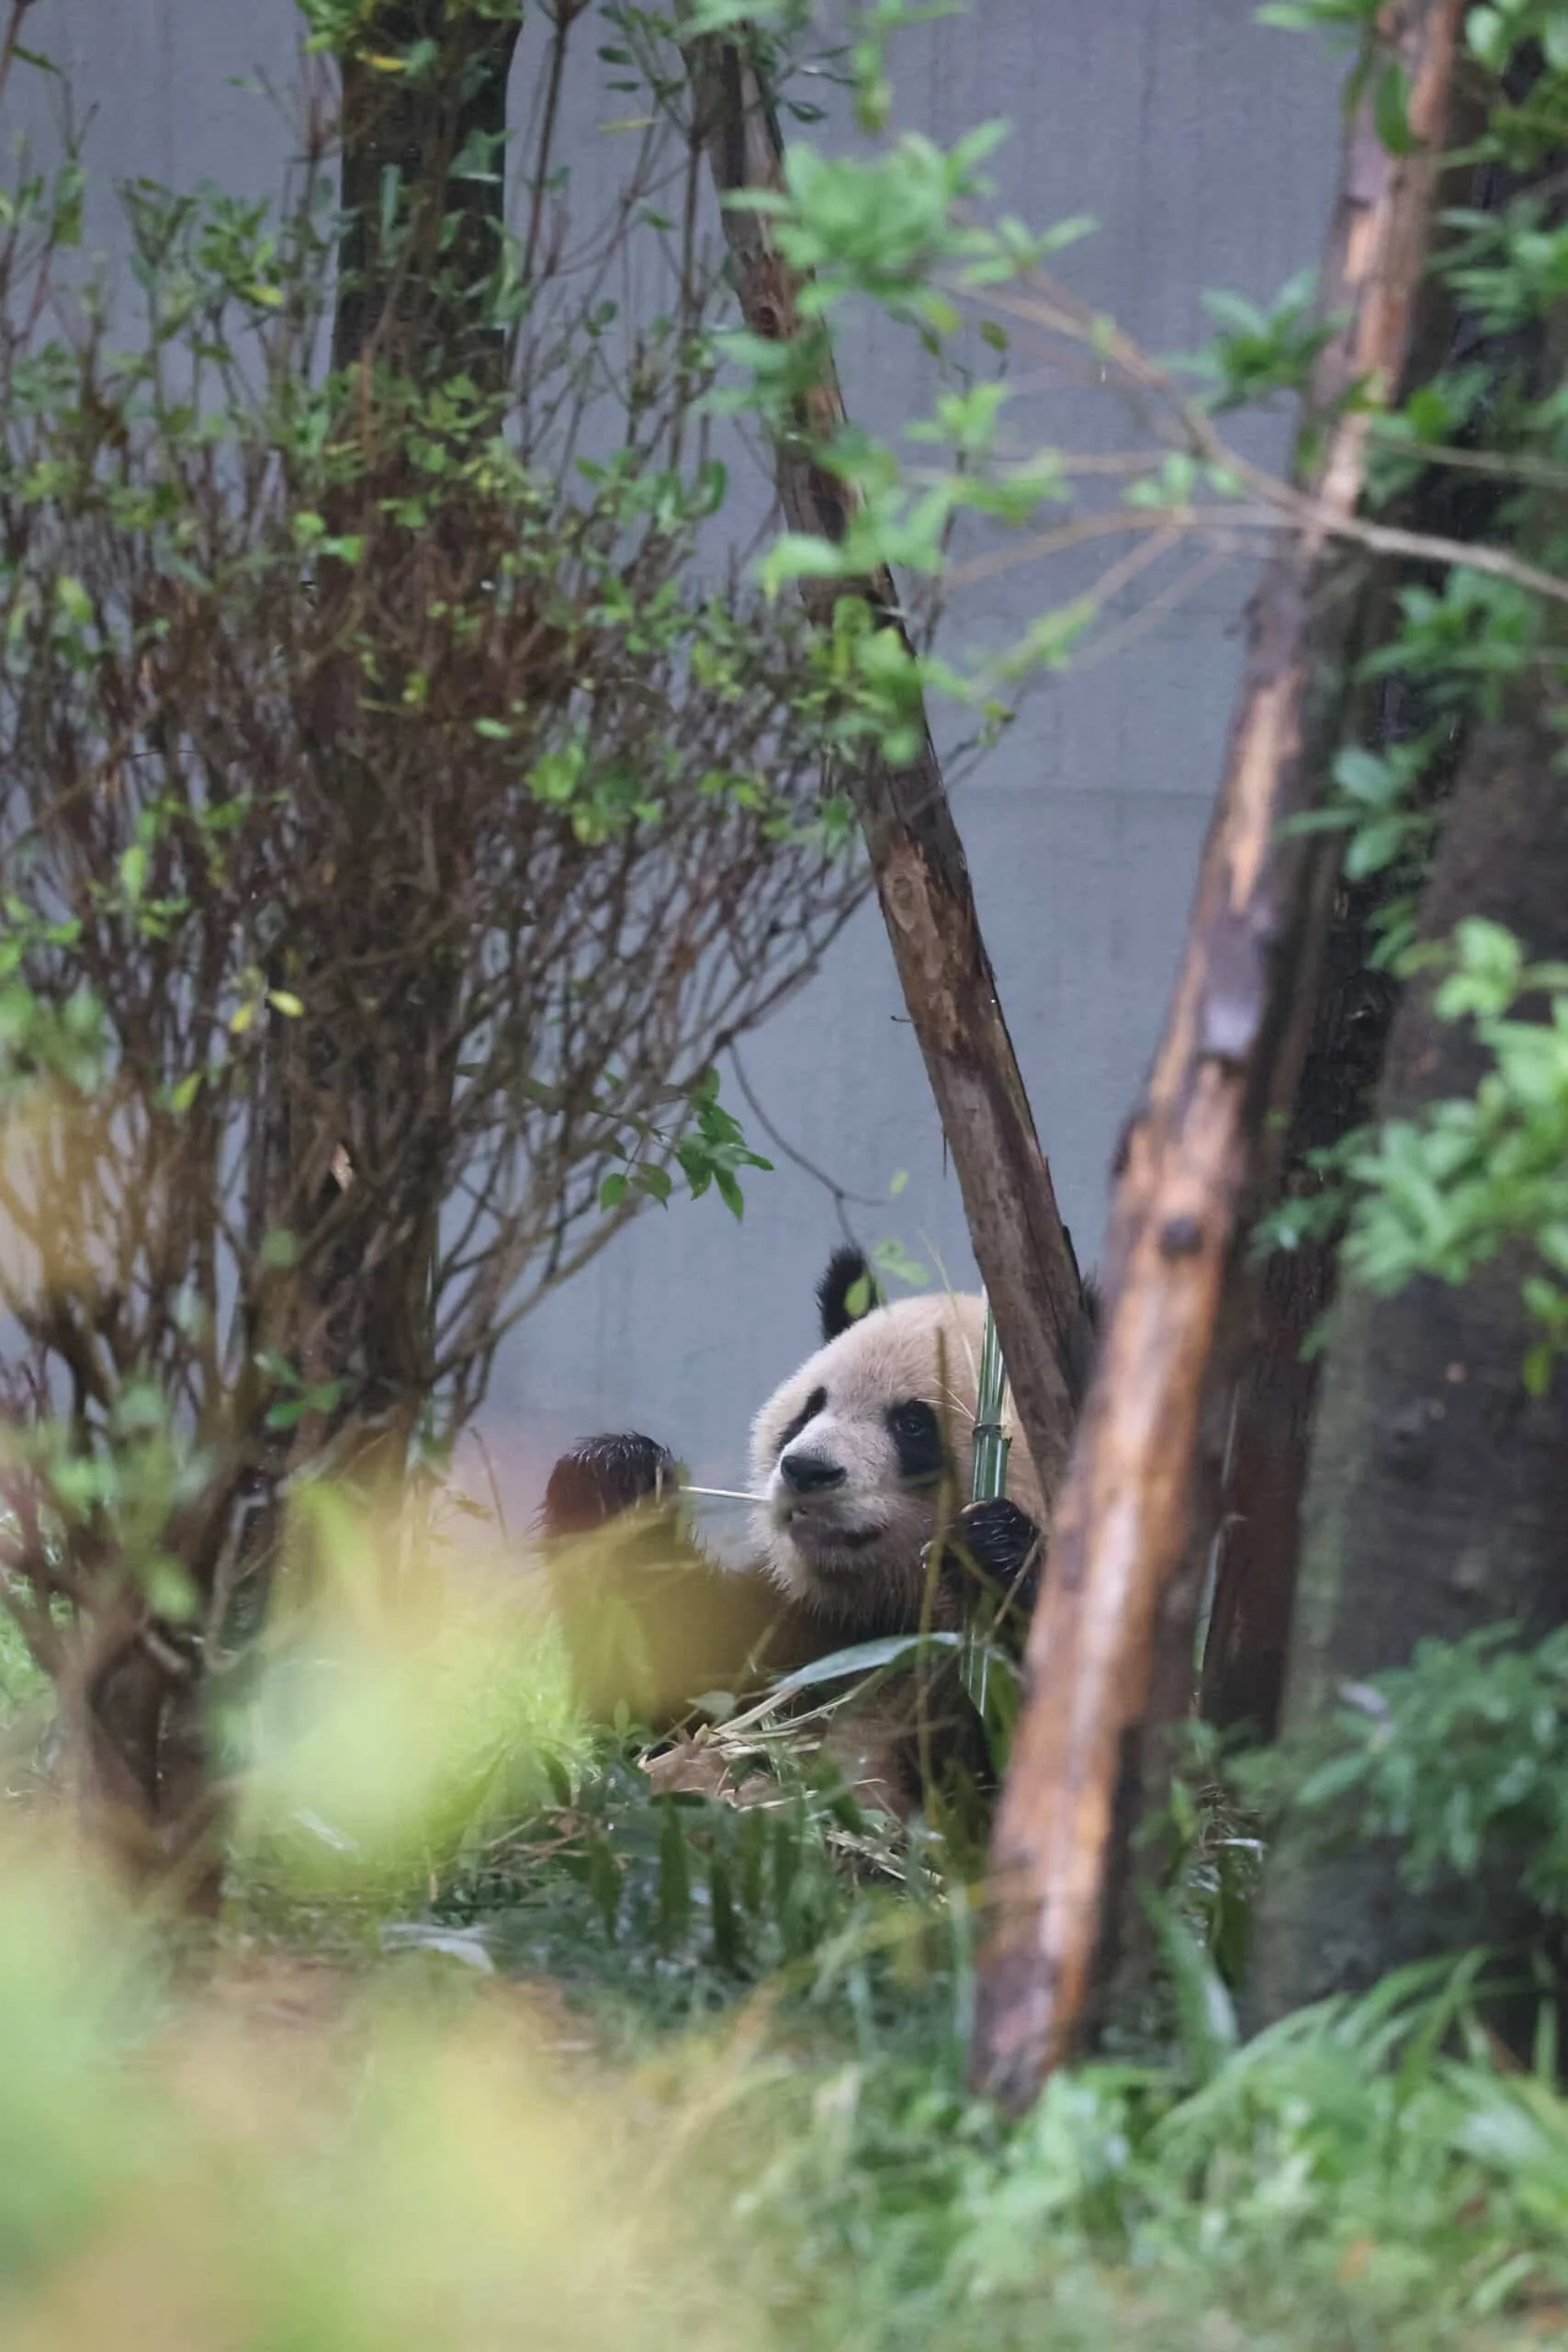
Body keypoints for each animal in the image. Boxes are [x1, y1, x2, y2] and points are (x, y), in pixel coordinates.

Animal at [538, 1244, 1097, 1815]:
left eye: (912, 1425)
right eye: (811, 1407)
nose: (806, 1470)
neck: (890, 1607)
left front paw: (998, 1549)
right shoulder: (796, 1623)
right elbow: (667, 1690)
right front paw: (614, 1478)